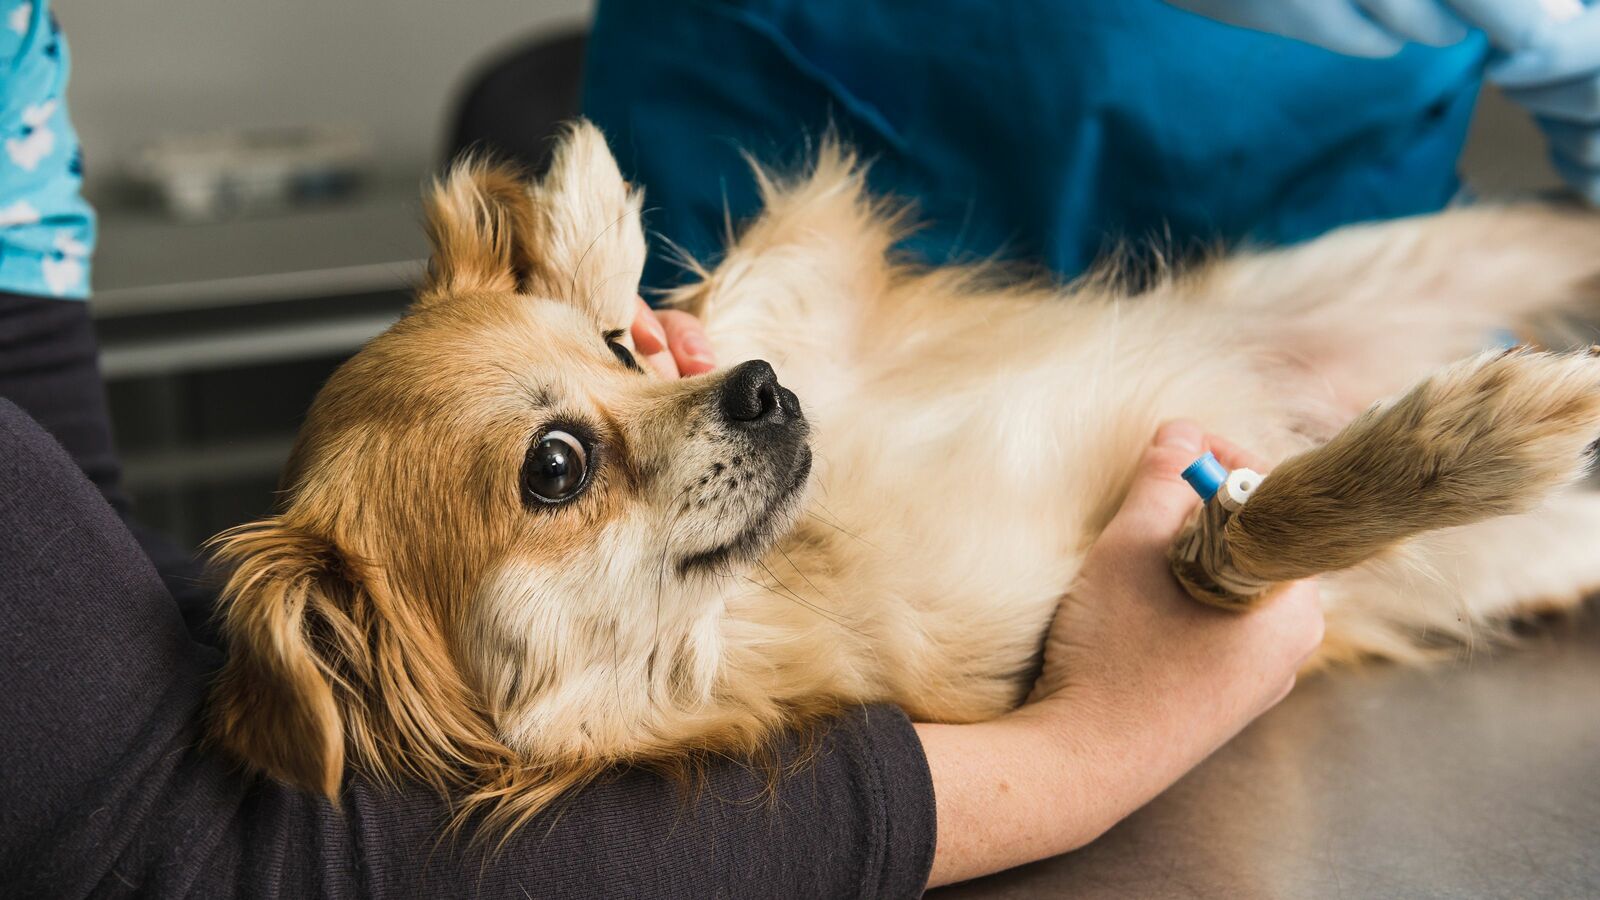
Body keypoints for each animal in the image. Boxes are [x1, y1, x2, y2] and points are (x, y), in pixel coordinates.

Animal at [206, 120, 1600, 826]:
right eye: (554, 467)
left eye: (613, 358)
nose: (762, 390)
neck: (800, 561)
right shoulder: (1116, 603)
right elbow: (1245, 532)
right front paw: (1474, 442)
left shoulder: (822, 303)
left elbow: (729, 286)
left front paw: (587, 227)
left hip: (1398, 262)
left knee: (1548, 232)